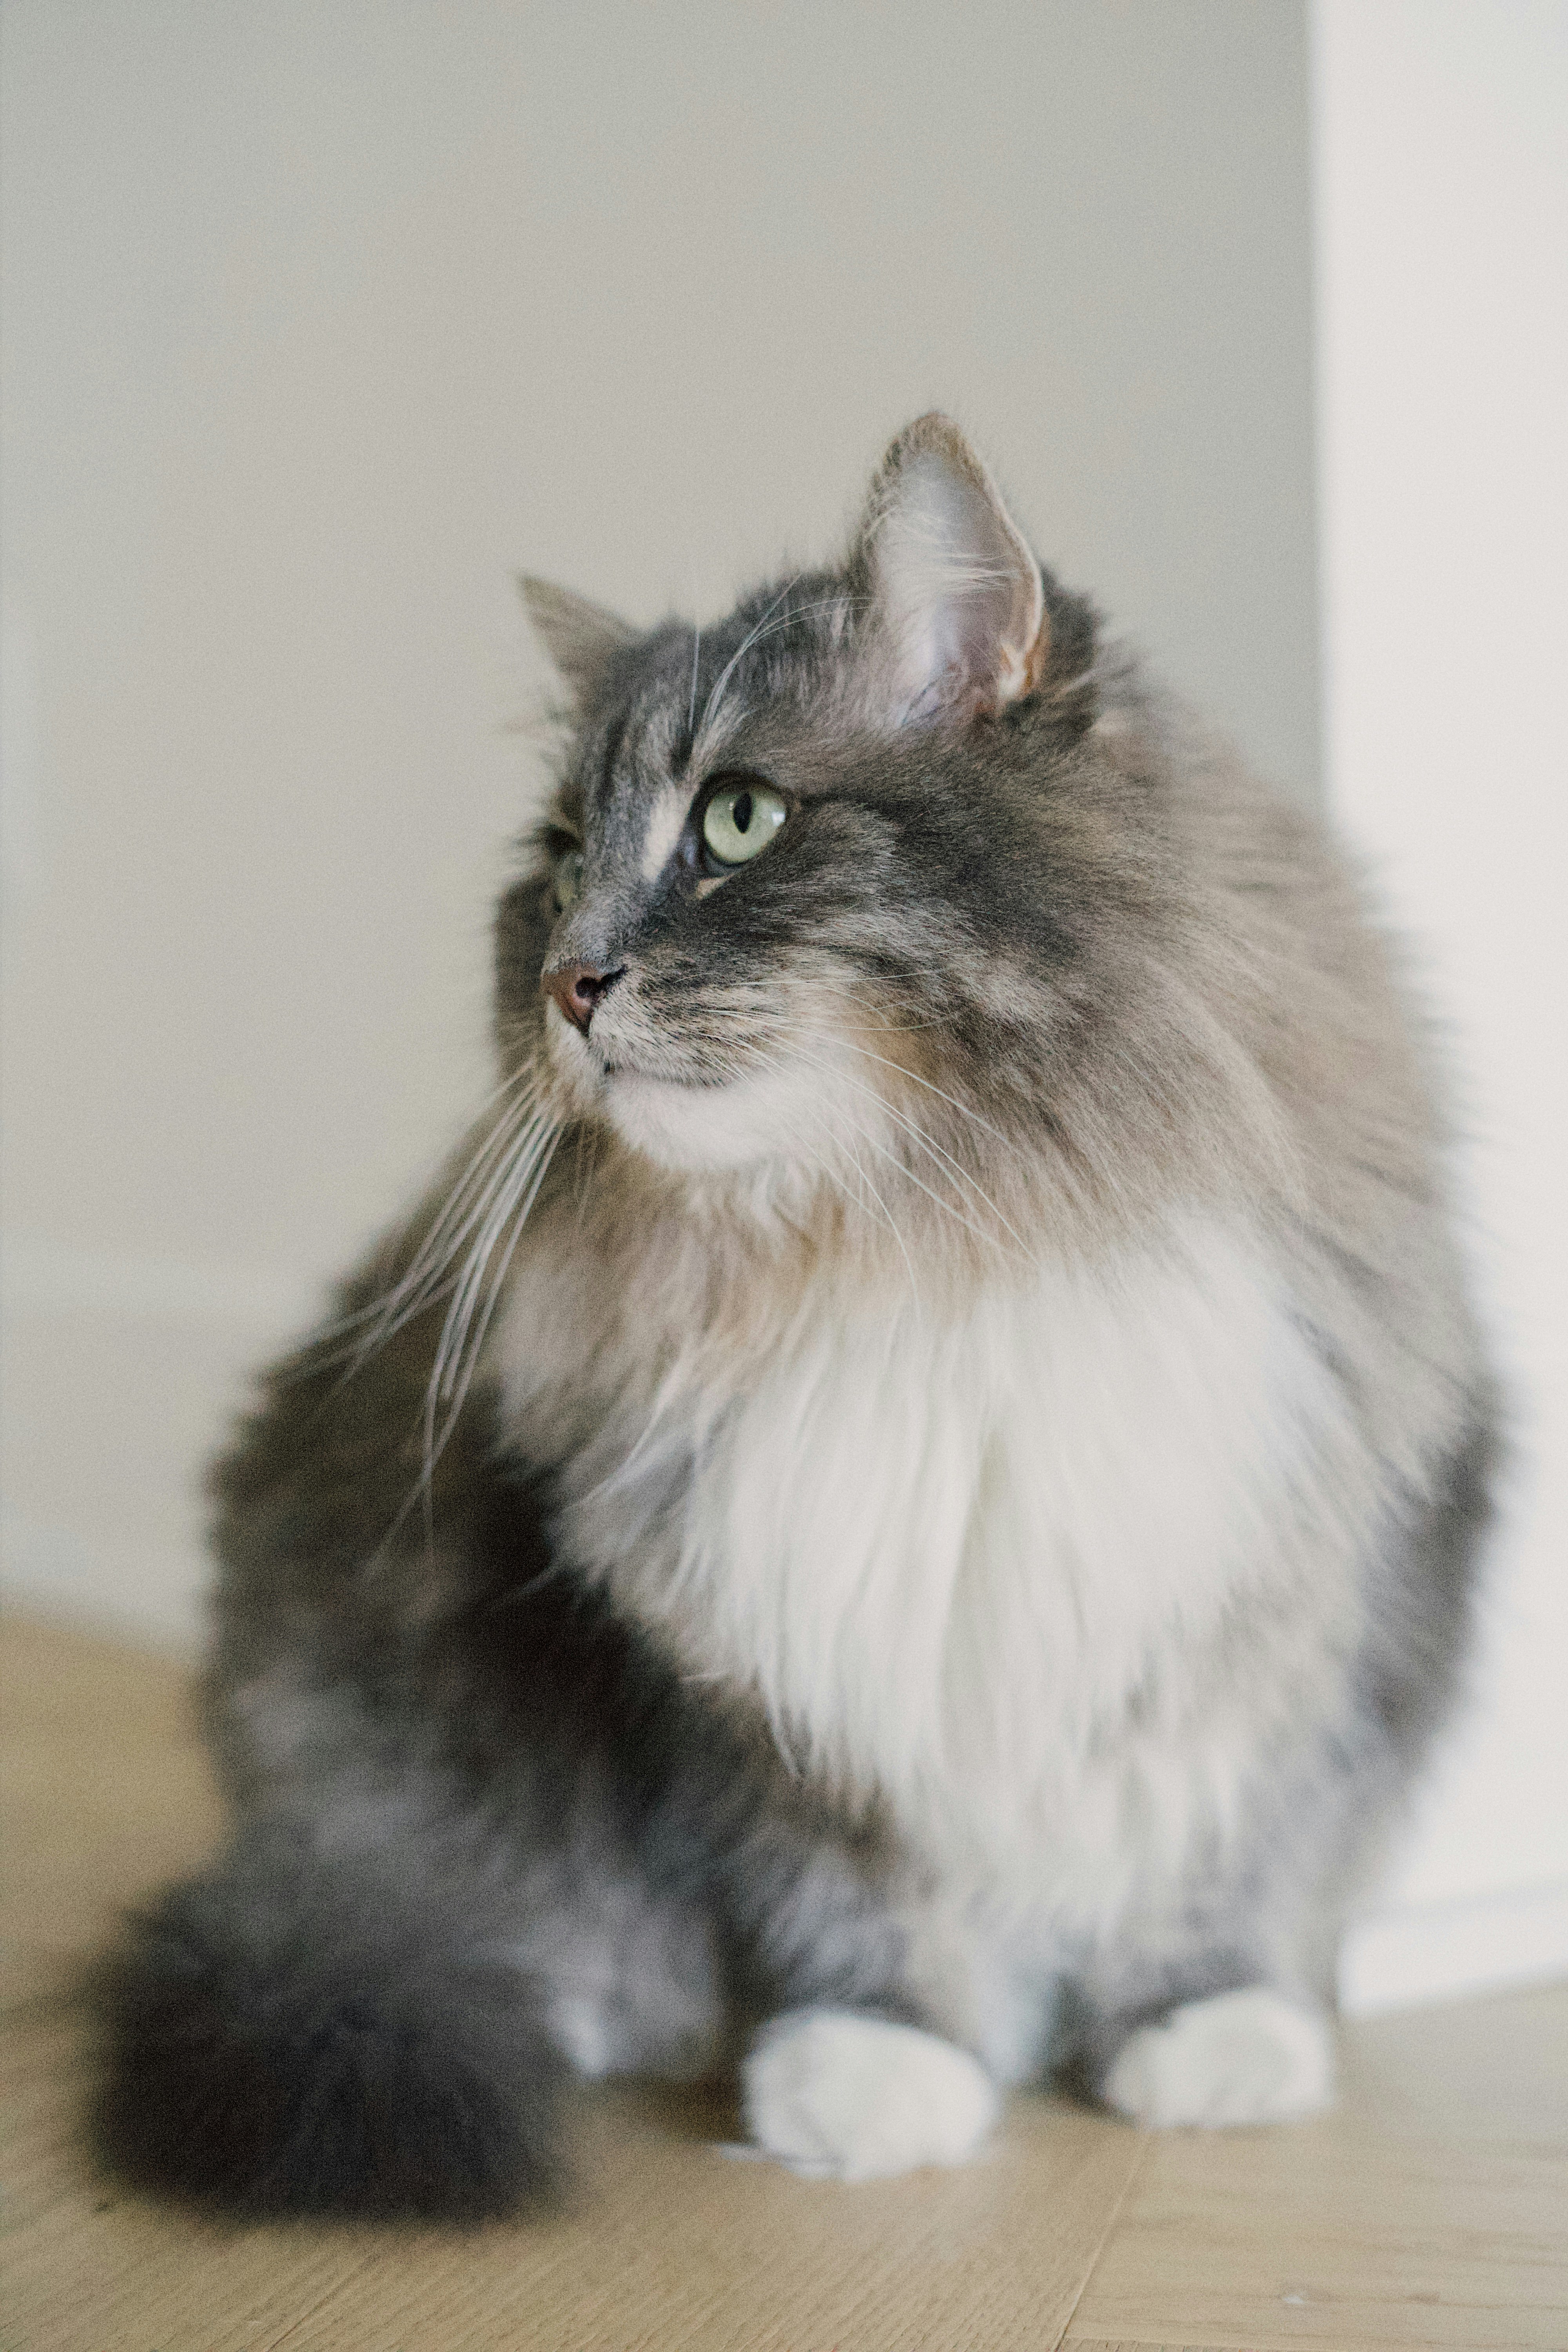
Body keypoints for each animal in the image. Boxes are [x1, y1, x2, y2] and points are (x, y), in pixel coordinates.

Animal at [95, 414, 1495, 2211]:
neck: (905, 1245)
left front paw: (1199, 2036)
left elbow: (1210, 1846)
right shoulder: (745, 1675)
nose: (568, 982)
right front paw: (884, 2077)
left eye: (741, 821)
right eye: (559, 865)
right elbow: (855, 1888)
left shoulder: (1264, 1594)